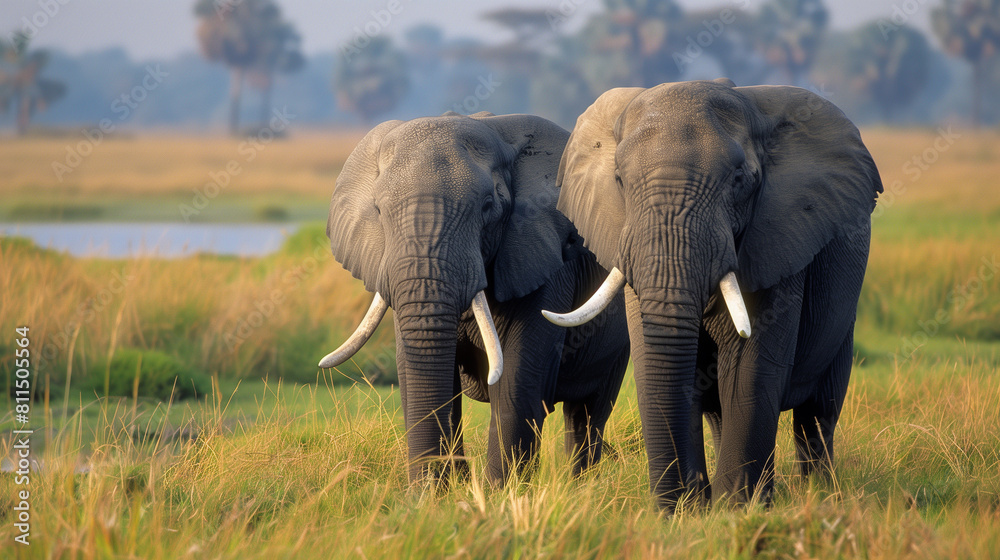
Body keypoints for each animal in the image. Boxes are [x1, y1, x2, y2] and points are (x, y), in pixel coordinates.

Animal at [318, 112, 630, 485]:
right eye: (378, 211)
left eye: (488, 207)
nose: (428, 488)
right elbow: (416, 376)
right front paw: (441, 493)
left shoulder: (542, 261)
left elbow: (515, 382)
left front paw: (498, 493)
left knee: (588, 414)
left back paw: (581, 486)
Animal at [542, 79, 882, 511]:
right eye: (618, 179)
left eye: (739, 180)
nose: (669, 509)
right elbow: (667, 364)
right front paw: (696, 510)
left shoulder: (778, 237)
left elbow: (750, 369)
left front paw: (737, 510)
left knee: (819, 411)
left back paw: (819, 492)